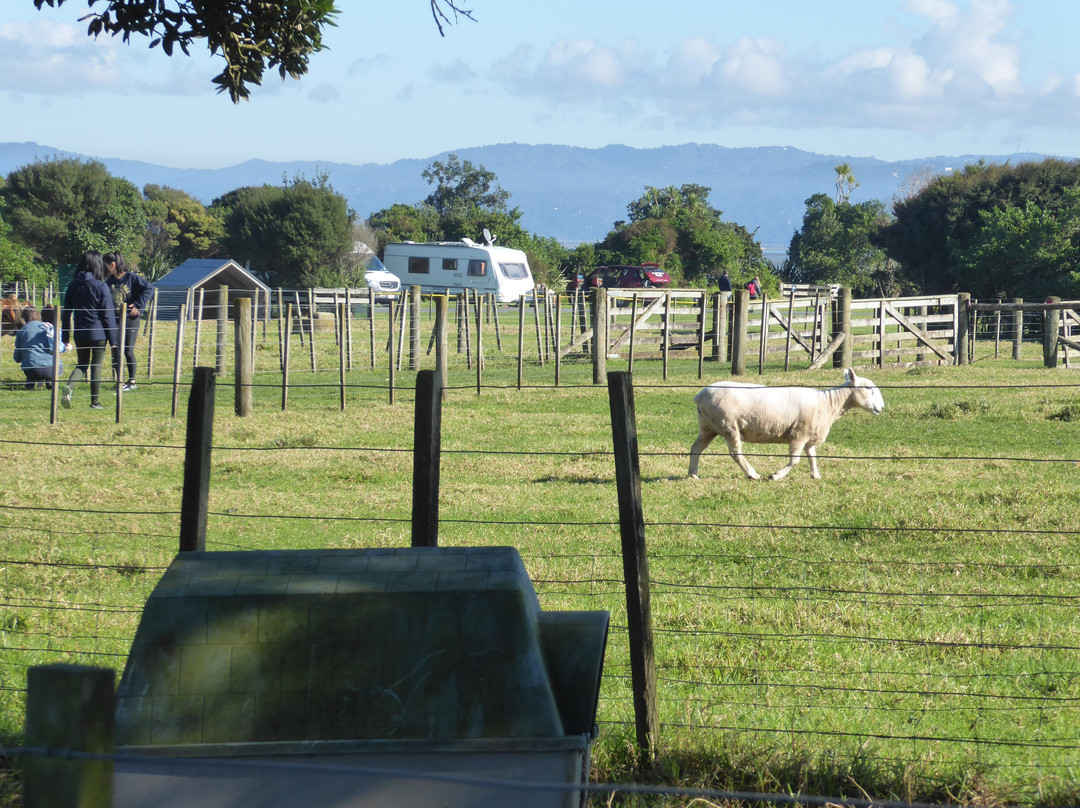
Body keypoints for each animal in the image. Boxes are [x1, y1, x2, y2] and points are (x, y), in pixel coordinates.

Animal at [686, 367, 881, 479]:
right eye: (868, 388)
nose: (882, 407)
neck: (828, 403)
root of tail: (700, 395)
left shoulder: (809, 436)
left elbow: (812, 456)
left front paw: (816, 475)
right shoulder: (798, 434)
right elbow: (795, 460)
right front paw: (776, 476)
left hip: (708, 426)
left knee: (696, 448)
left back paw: (693, 474)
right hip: (728, 425)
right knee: (736, 453)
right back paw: (753, 474)